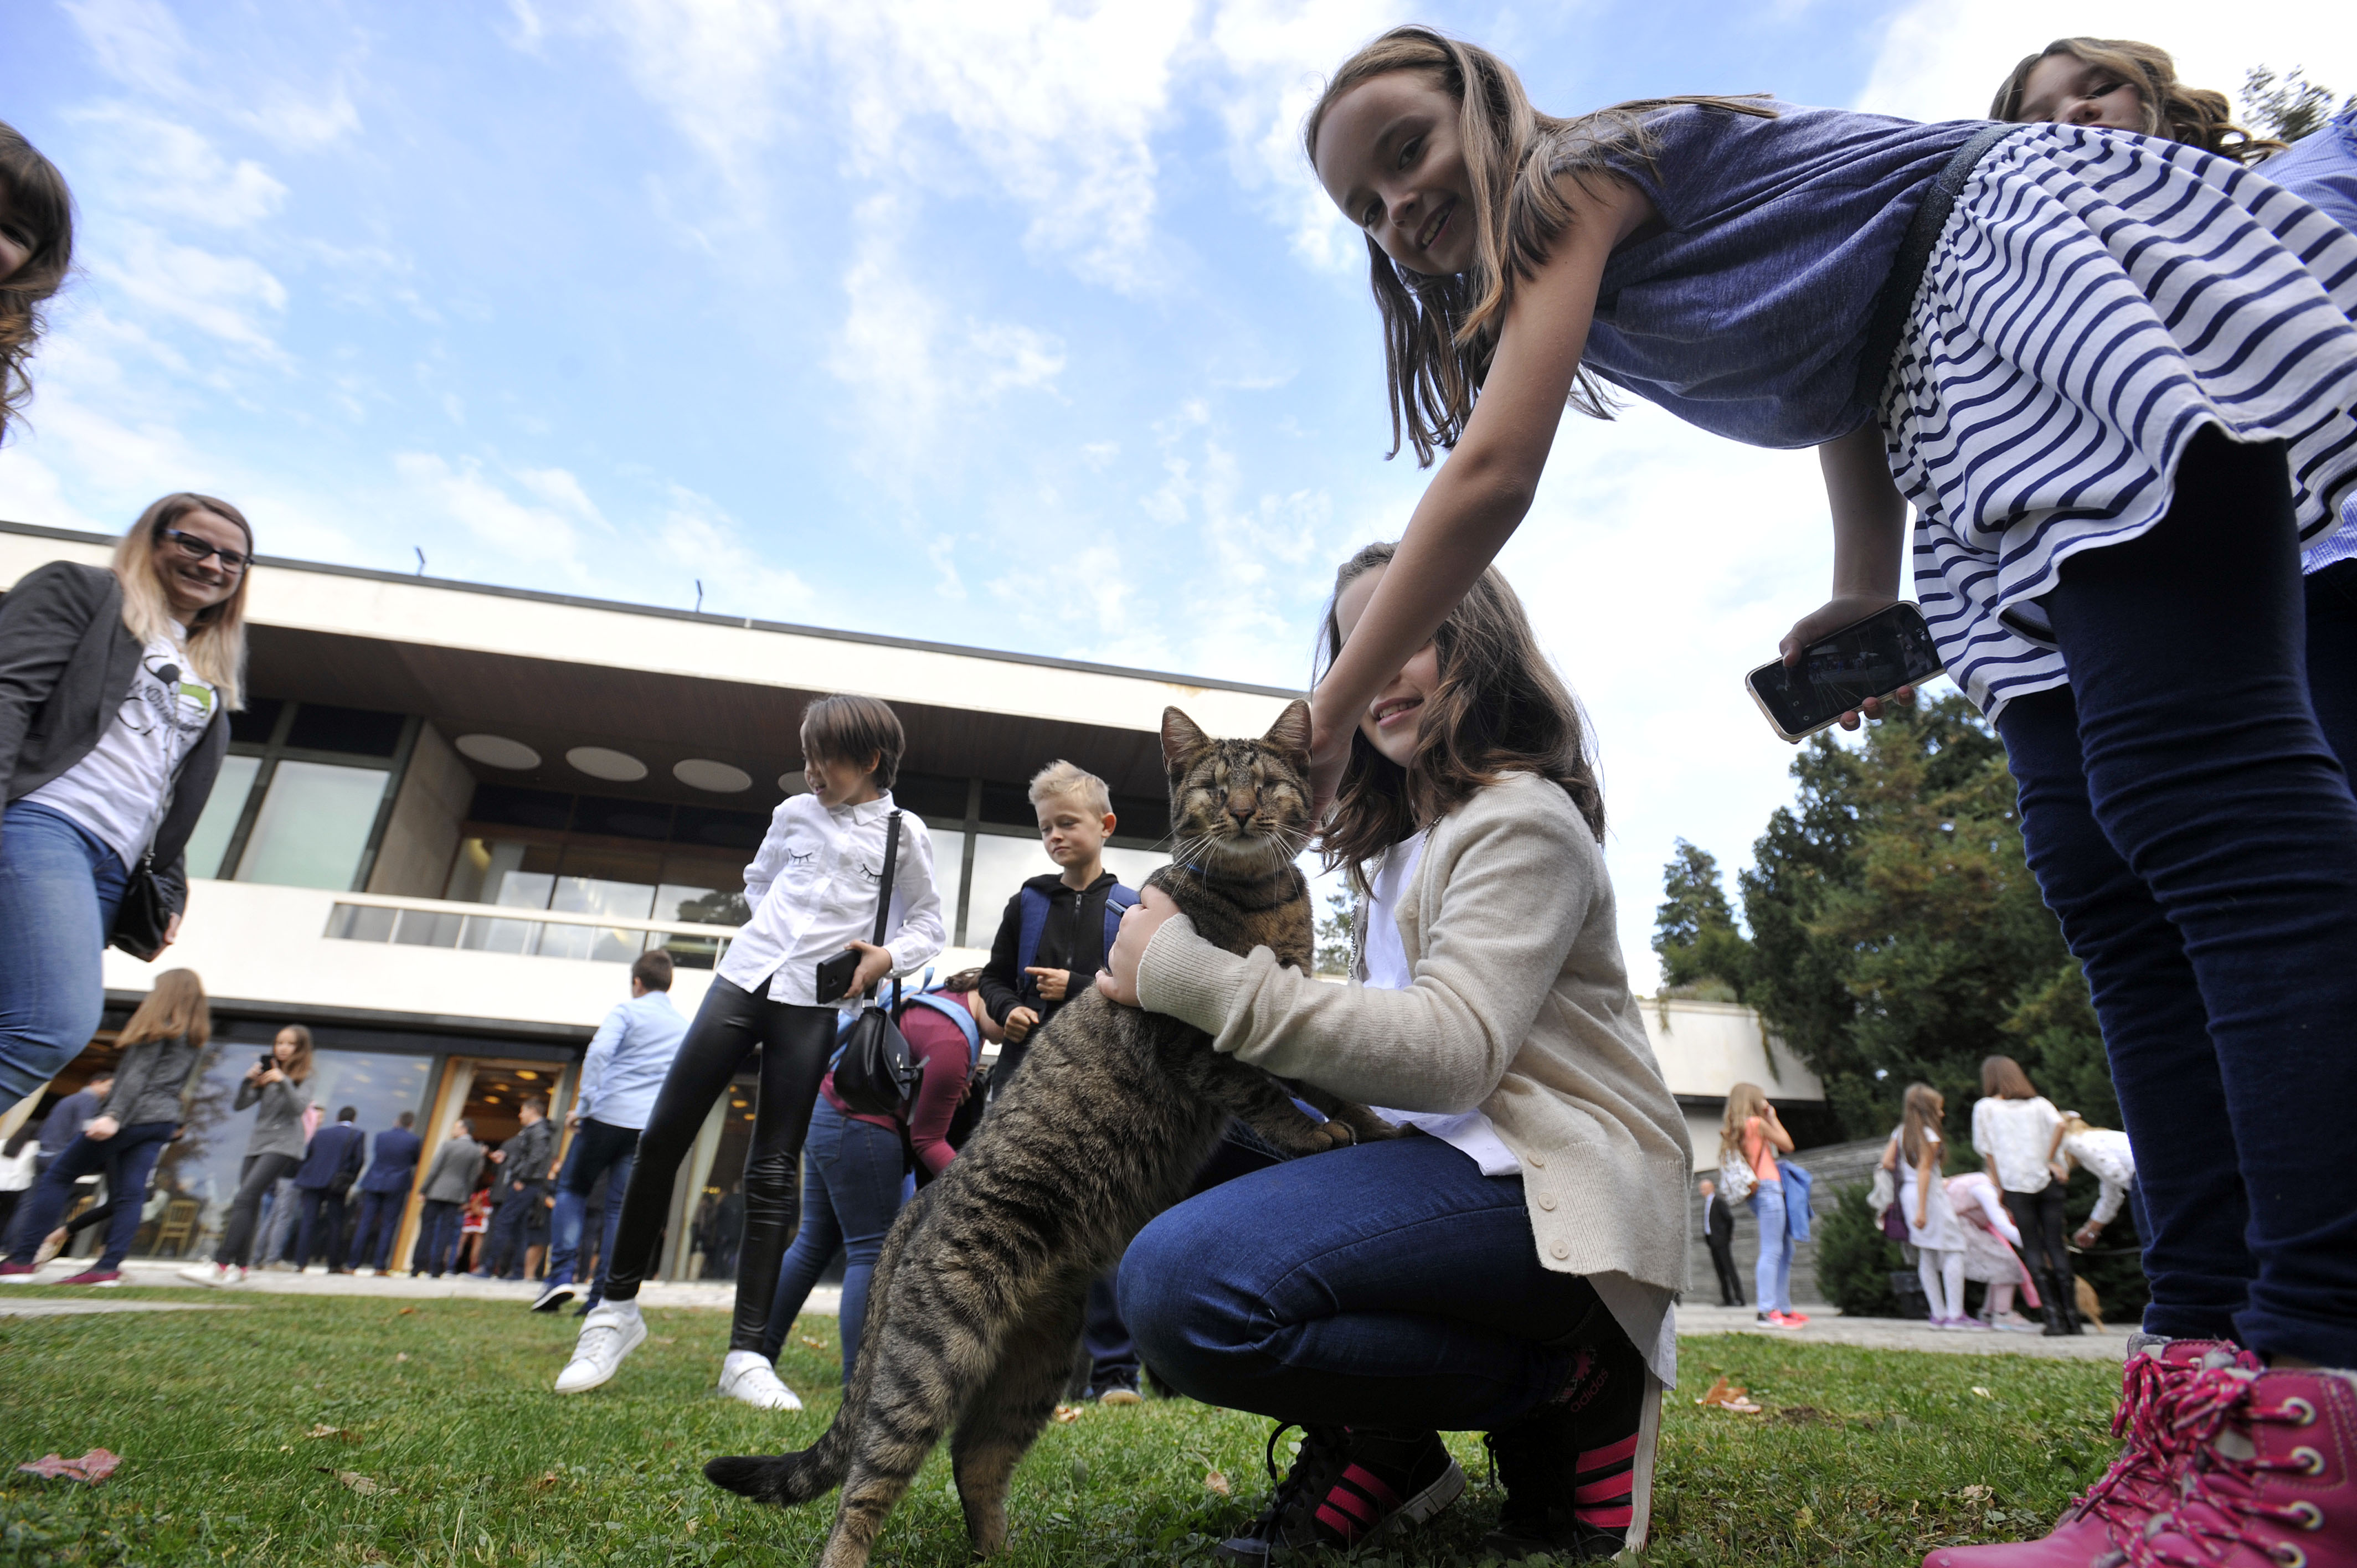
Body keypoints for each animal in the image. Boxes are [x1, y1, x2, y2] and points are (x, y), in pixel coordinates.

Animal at [707, 703, 1386, 1556]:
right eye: (1210, 786)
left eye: (1262, 783)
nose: (1238, 811)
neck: (1259, 899)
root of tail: (920, 1202)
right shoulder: (1195, 1037)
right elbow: (1267, 1095)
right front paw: (1313, 1134)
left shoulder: (1284, 1016)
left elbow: (1327, 1075)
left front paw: (1377, 1122)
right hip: (932, 1360)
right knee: (867, 1484)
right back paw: (853, 1551)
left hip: (1033, 1368)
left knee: (975, 1459)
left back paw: (999, 1552)